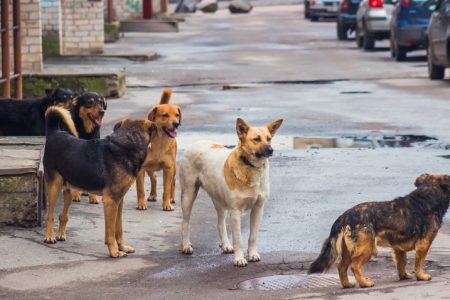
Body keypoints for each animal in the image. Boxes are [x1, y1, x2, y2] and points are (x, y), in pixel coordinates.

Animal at [178, 117, 282, 268]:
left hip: (219, 201)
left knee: (220, 223)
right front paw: (239, 259)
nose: (271, 150)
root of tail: (195, 143)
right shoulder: (236, 212)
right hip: (188, 195)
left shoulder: (258, 208)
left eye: (269, 139)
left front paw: (252, 254)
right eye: (256, 139)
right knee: (185, 222)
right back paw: (186, 245)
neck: (250, 167)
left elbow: (252, 236)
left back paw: (226, 245)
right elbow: (238, 240)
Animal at [308, 173, 450, 288]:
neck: (428, 194)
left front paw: (403, 276)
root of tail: (344, 217)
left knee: (341, 267)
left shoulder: (399, 248)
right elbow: (419, 263)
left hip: (348, 250)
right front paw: (421, 276)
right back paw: (364, 283)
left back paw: (347, 284)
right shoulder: (423, 244)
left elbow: (401, 263)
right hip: (367, 248)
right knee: (355, 266)